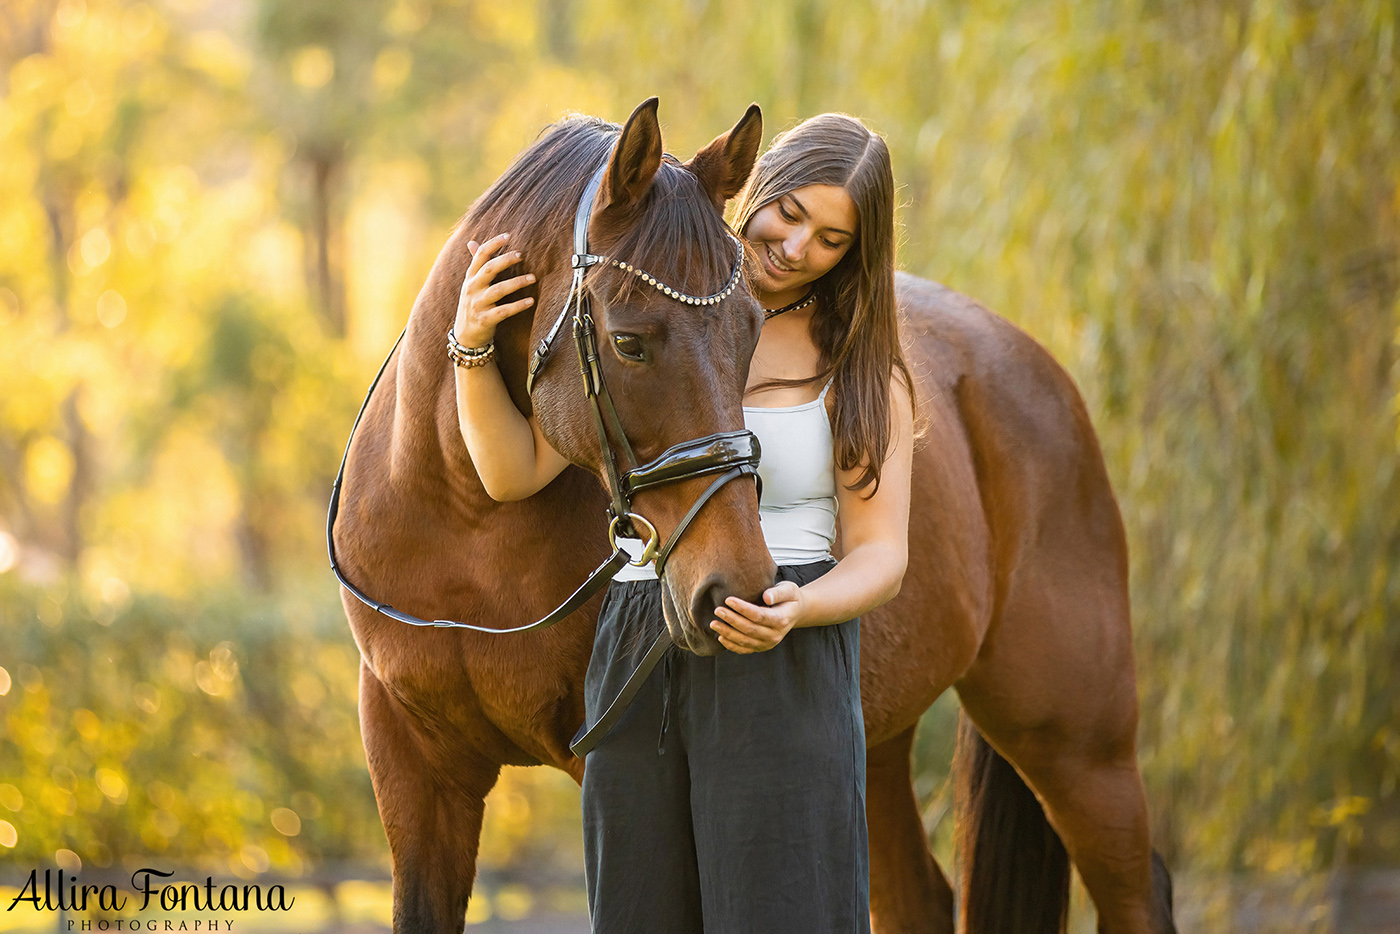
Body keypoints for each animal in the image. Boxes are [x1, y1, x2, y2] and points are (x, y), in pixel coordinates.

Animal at [333, 96, 1176, 934]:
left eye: (751, 331)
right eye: (629, 342)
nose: (734, 586)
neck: (463, 522)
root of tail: (1033, 364)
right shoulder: (415, 772)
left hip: (1077, 741)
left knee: (1138, 887)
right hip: (881, 744)